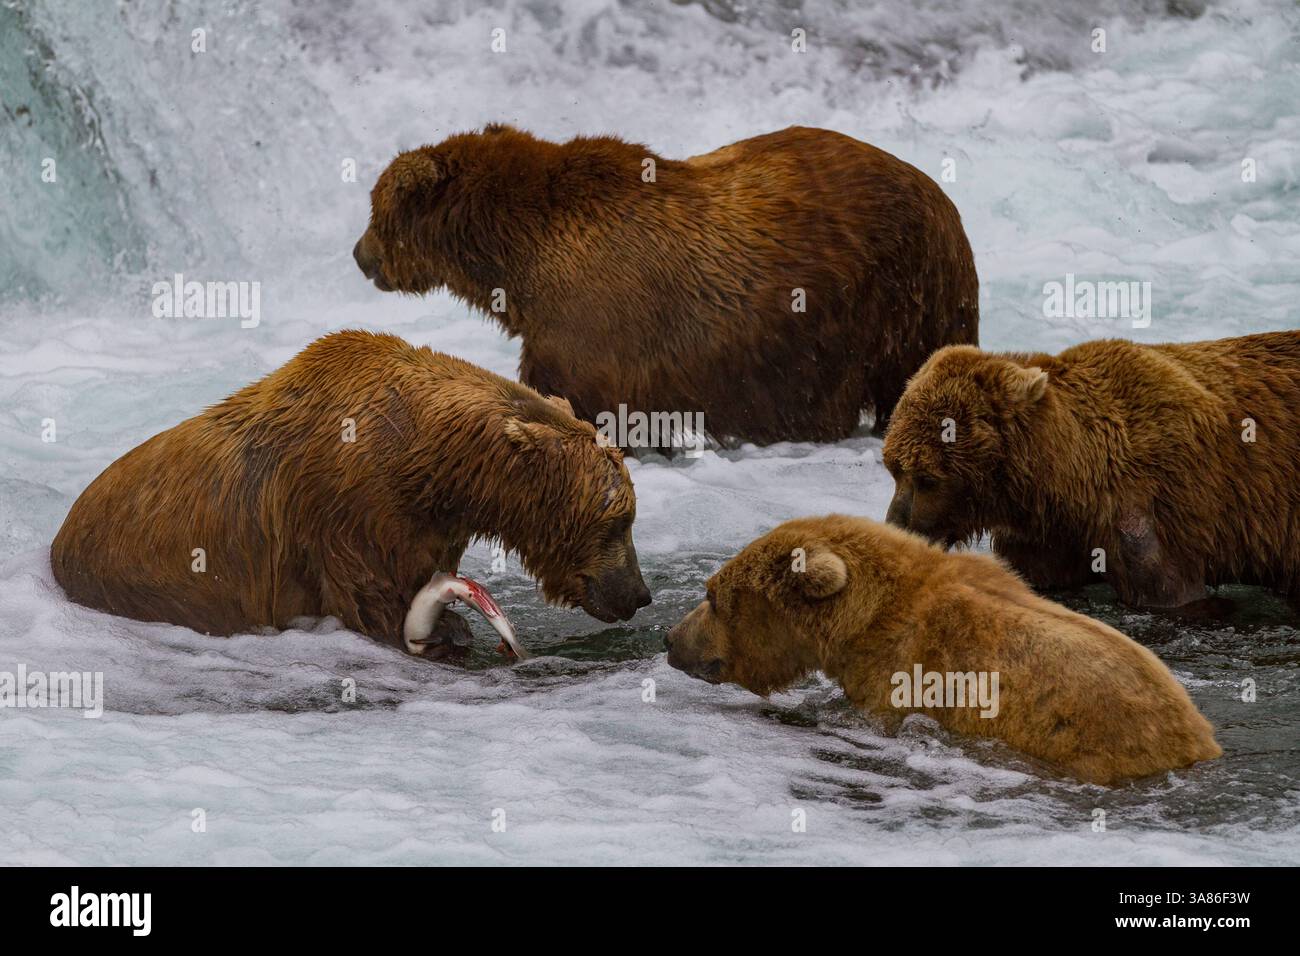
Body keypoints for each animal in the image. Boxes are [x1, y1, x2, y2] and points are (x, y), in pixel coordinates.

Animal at [50, 330, 652, 656]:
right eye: (618, 520)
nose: (640, 593)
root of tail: (59, 539)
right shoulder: (345, 512)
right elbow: (367, 593)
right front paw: (447, 629)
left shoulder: (429, 522)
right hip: (145, 581)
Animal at [353, 124, 979, 447]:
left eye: (376, 209)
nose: (360, 256)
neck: (519, 257)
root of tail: (941, 195)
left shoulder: (594, 328)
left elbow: (576, 396)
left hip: (900, 294)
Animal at [881, 331, 1300, 608]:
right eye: (894, 468)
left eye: (928, 478)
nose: (898, 525)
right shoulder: (1044, 536)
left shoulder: (1154, 517)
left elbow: (1172, 592)